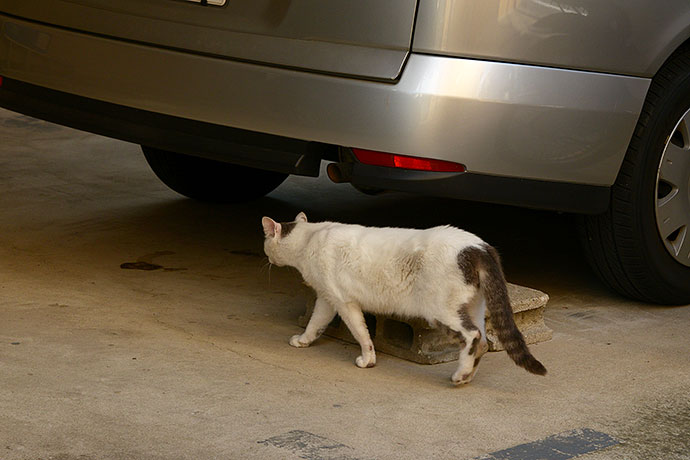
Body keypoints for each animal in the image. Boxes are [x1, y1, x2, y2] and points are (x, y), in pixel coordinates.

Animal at [260, 212, 544, 384]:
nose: (267, 259)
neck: (309, 238)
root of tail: (478, 247)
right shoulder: (327, 299)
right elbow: (315, 323)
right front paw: (304, 340)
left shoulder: (343, 301)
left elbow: (361, 333)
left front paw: (368, 360)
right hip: (473, 306)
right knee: (483, 340)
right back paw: (467, 374)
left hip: (440, 312)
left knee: (473, 337)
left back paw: (460, 375)